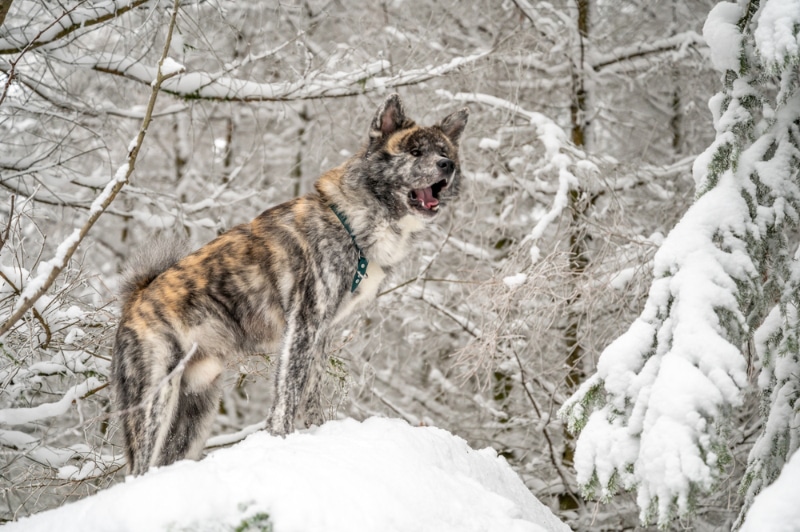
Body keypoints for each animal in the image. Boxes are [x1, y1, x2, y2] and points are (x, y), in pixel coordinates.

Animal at [109, 93, 466, 476]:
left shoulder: (322, 332)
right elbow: (288, 395)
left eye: (444, 151)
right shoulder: (303, 323)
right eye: (414, 152)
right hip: (155, 401)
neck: (354, 221)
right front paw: (281, 439)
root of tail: (136, 300)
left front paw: (317, 431)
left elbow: (311, 392)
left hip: (194, 414)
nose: (447, 165)